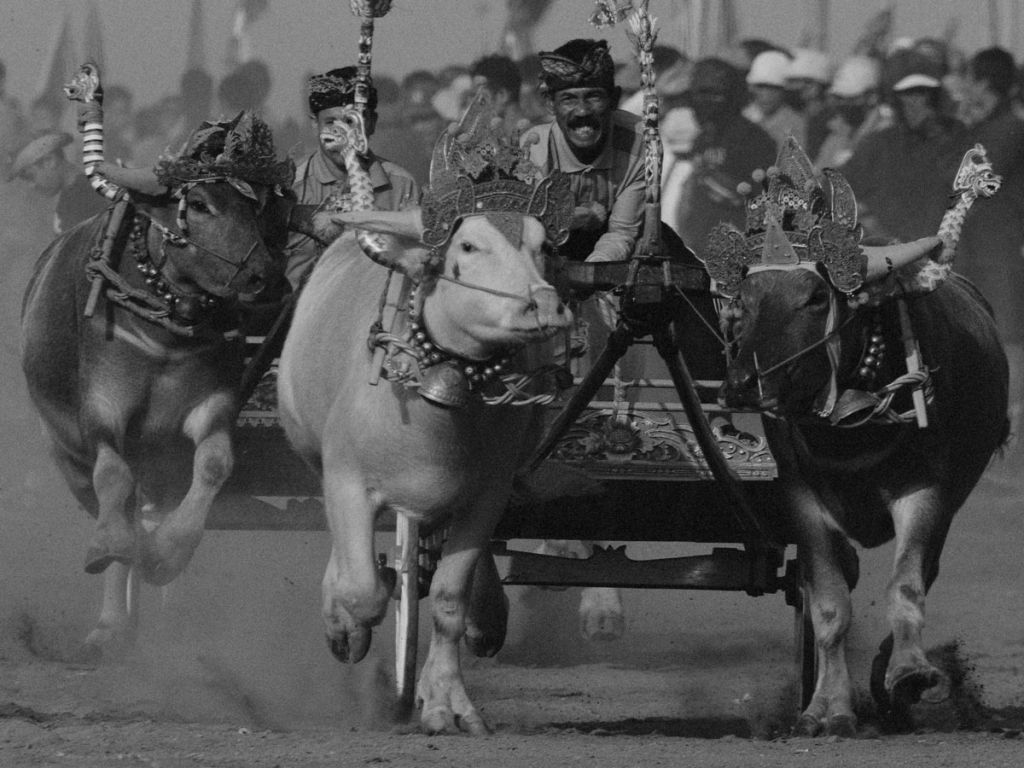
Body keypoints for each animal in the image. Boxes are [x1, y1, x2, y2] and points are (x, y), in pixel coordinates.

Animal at [20, 63, 292, 663]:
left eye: (256, 207)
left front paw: (168, 552)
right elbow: (113, 482)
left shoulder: (210, 405)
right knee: (107, 496)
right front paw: (109, 547)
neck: (166, 324)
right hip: (61, 448)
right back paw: (109, 624)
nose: (268, 279)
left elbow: (214, 465)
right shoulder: (101, 411)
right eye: (204, 206)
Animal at [276, 102, 573, 733]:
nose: (544, 306)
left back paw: (489, 615)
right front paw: (347, 621)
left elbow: (448, 602)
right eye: (469, 248)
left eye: (541, 247)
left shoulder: (486, 496)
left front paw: (445, 704)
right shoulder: (345, 482)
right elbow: (364, 588)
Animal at [708, 141, 1003, 737]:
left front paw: (909, 673)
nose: (743, 384)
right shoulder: (801, 498)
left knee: (924, 573)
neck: (849, 423)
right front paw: (827, 709)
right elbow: (828, 605)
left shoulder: (926, 492)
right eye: (744, 297)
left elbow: (907, 586)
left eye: (816, 297)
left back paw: (893, 684)